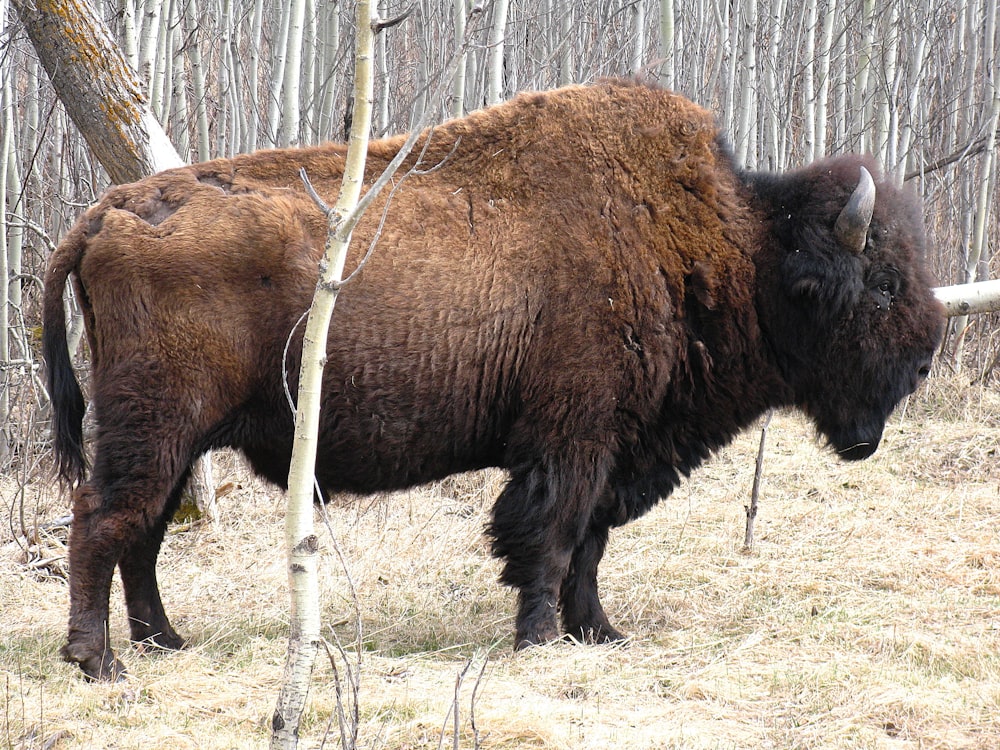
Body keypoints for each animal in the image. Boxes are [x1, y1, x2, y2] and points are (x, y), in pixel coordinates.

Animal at [41, 81, 944, 680]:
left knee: (142, 533)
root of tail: (109, 210)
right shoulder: (571, 441)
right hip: (154, 425)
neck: (733, 247)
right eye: (882, 284)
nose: (927, 356)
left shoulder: (612, 449)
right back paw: (99, 662)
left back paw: (164, 641)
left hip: (177, 435)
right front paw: (540, 637)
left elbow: (589, 546)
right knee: (102, 522)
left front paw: (600, 634)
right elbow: (552, 539)